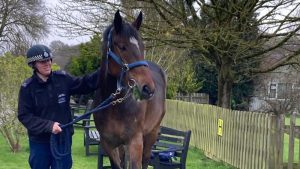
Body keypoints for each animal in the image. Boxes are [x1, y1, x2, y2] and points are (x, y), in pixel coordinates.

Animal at [92, 10, 165, 169]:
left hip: (151, 134)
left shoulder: (135, 142)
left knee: (146, 160)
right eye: (122, 46)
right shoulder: (108, 144)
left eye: (142, 46)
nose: (148, 88)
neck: (114, 106)